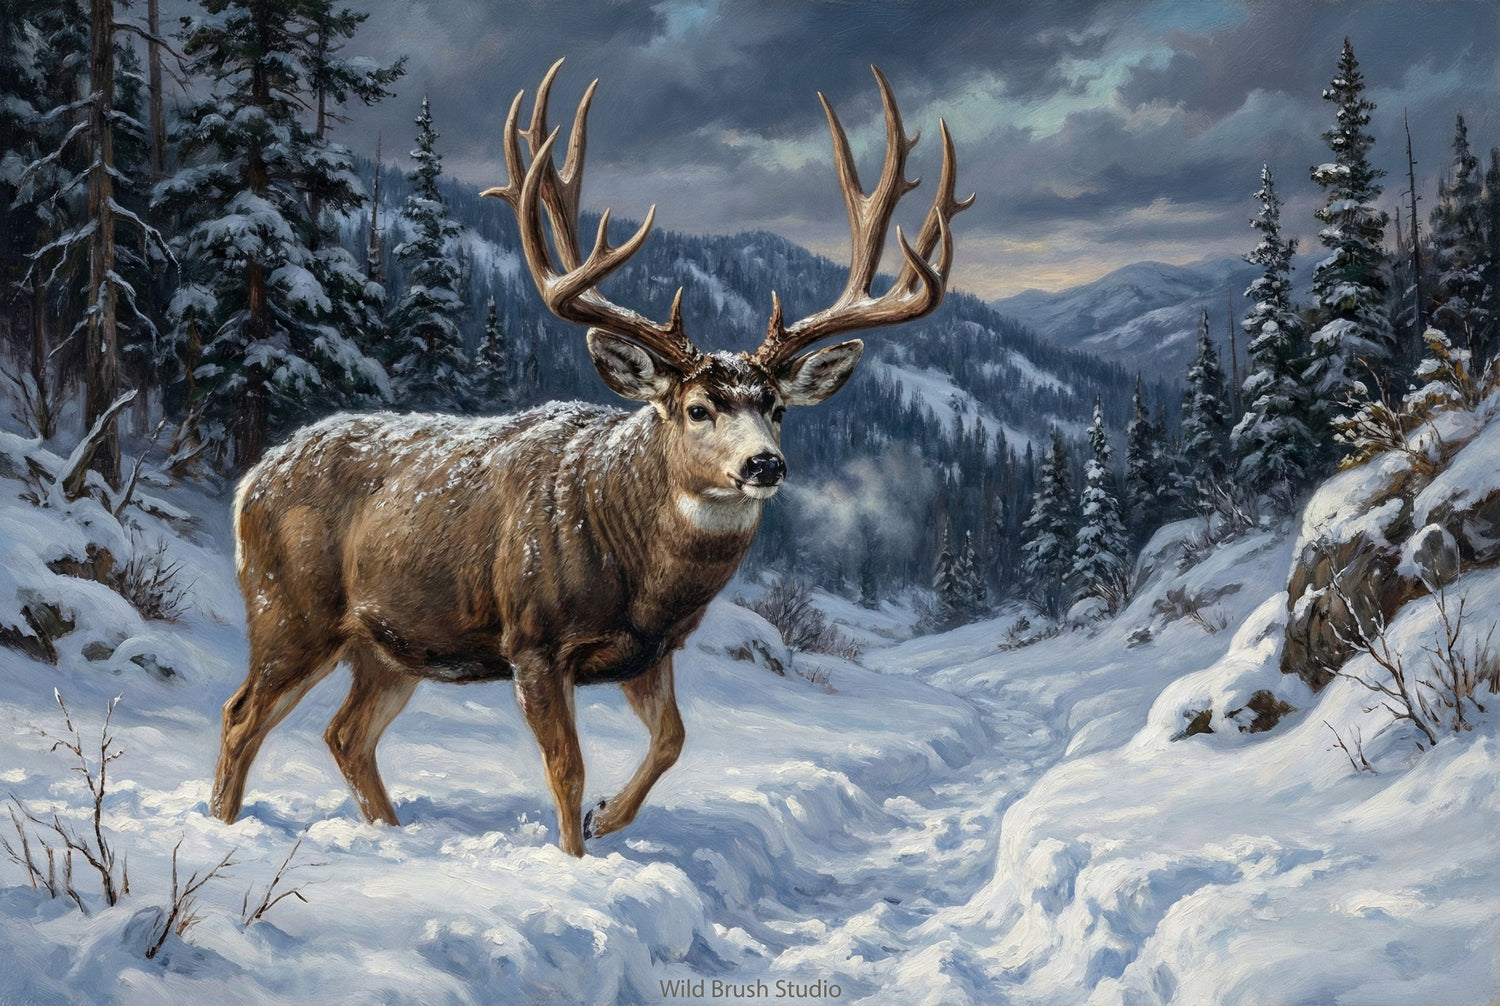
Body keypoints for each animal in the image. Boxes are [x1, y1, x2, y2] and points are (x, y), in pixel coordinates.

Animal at [209, 59, 971, 857]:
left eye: (778, 408)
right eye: (698, 408)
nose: (765, 466)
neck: (638, 570)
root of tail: (251, 479)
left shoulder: (650, 652)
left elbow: (672, 741)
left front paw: (608, 817)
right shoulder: (534, 639)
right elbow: (566, 768)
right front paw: (576, 852)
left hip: (391, 646)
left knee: (345, 734)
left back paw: (391, 834)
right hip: (289, 609)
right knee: (241, 714)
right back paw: (222, 826)